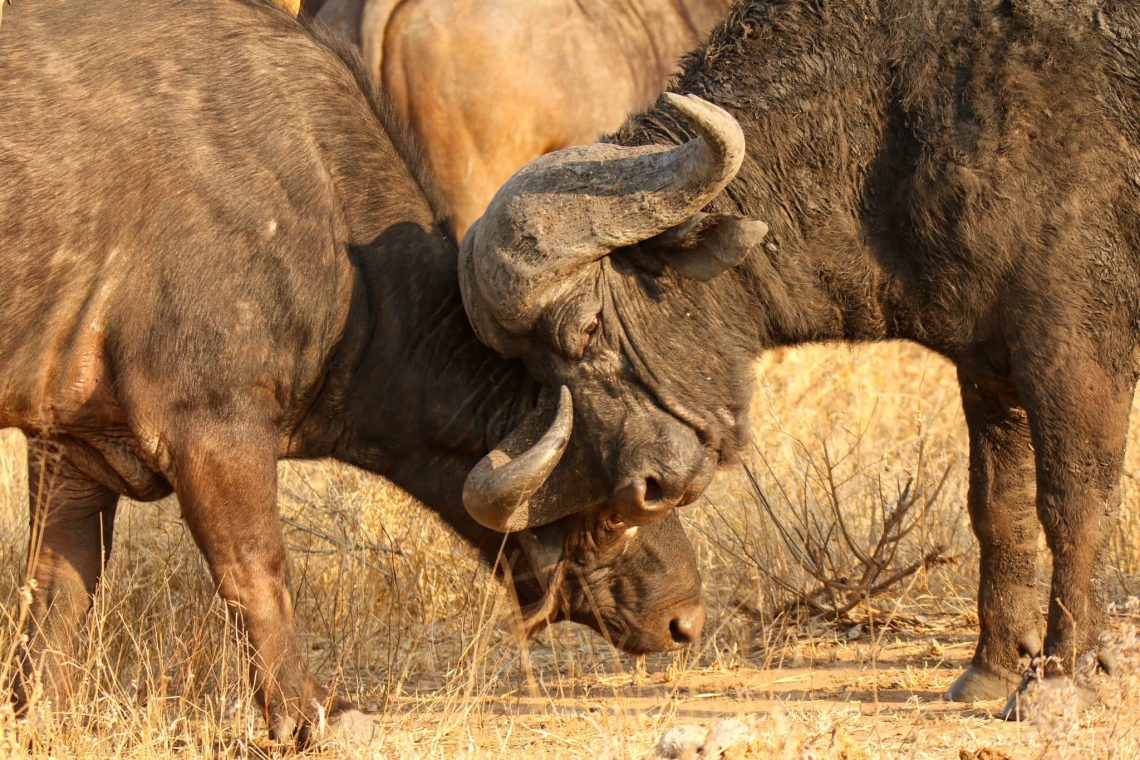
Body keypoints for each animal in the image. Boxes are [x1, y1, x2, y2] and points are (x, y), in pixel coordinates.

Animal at [460, 0, 1140, 718]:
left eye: (587, 327)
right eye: (534, 368)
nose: (641, 489)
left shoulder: (1075, 353)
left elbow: (1074, 508)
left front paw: (1062, 672)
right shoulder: (988, 370)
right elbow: (997, 509)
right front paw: (994, 666)